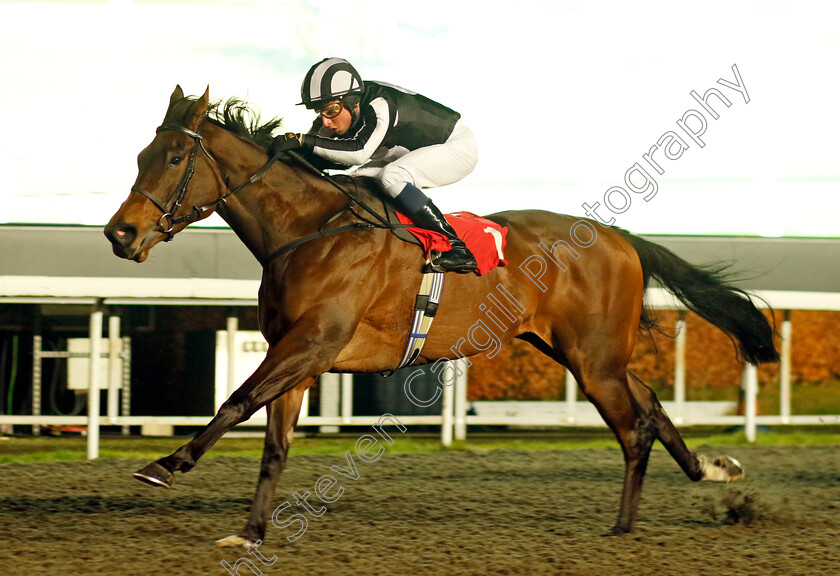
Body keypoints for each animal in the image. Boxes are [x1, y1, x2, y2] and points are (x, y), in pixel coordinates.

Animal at [105, 85, 780, 544]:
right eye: (139, 155)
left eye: (173, 159)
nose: (120, 233)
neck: (309, 229)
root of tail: (619, 237)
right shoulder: (296, 354)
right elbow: (274, 445)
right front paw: (250, 534)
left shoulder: (313, 342)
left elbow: (235, 401)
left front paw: (167, 465)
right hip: (579, 351)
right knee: (652, 404)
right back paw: (712, 471)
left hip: (592, 359)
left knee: (634, 426)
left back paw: (621, 527)